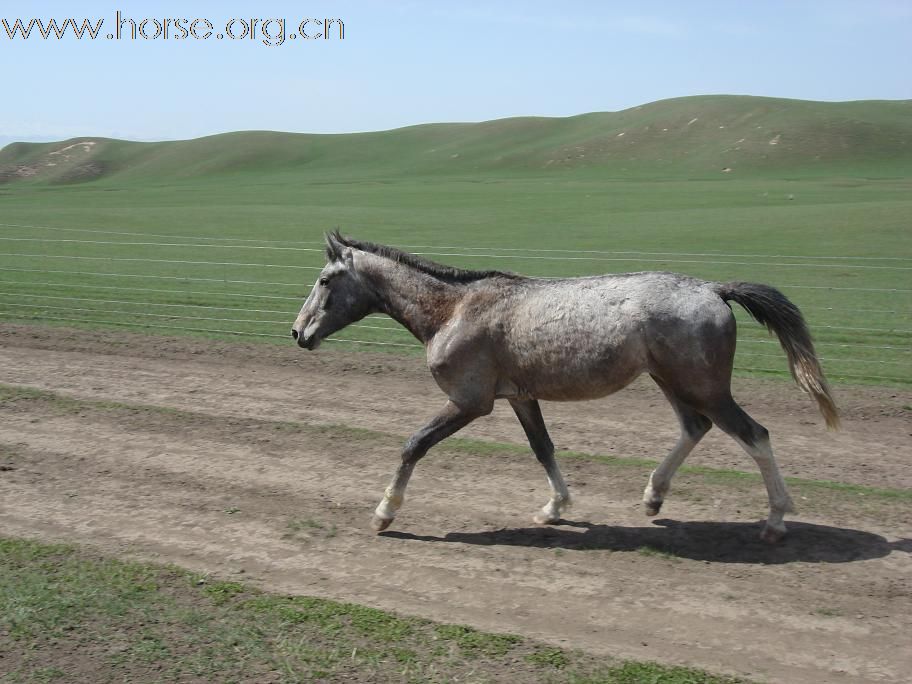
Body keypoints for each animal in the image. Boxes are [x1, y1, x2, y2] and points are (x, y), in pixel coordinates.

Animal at [292, 232, 840, 544]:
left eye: (324, 280)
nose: (298, 333)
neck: (453, 311)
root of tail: (713, 289)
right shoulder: (520, 397)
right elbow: (543, 448)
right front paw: (555, 508)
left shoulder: (469, 402)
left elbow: (413, 445)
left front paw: (383, 513)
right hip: (673, 382)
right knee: (695, 428)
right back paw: (653, 497)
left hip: (703, 387)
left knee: (755, 435)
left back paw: (775, 521)